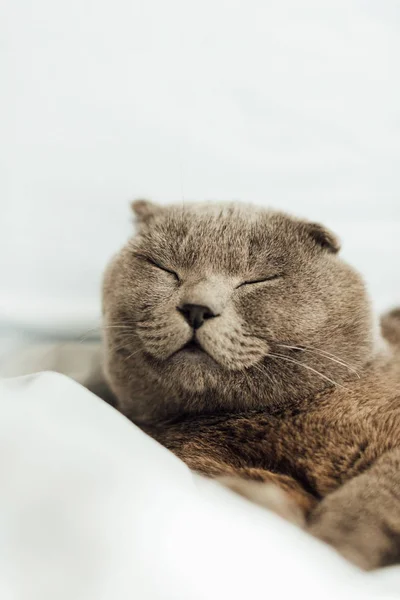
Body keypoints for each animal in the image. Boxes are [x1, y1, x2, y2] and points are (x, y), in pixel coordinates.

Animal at [101, 199, 400, 568]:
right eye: (164, 268)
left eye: (257, 280)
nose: (196, 308)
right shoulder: (198, 460)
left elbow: (369, 499)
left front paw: (337, 549)